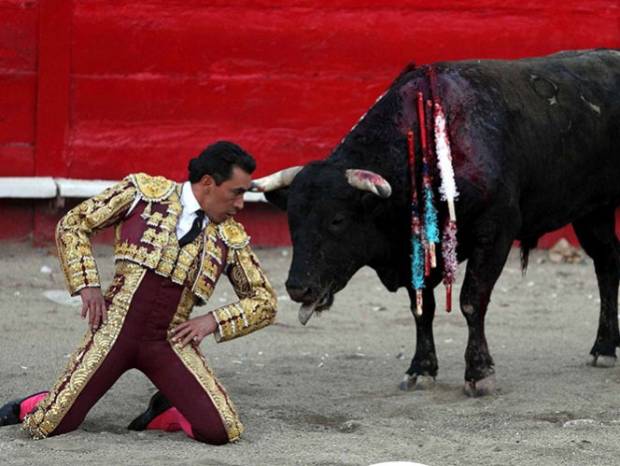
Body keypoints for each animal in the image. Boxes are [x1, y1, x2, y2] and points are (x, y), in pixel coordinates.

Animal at [253, 48, 620, 396]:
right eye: (291, 221)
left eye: (337, 220)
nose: (298, 288)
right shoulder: (414, 251)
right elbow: (422, 309)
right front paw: (421, 369)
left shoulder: (496, 229)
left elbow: (472, 300)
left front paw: (479, 374)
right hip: (594, 213)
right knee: (607, 262)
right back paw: (604, 347)